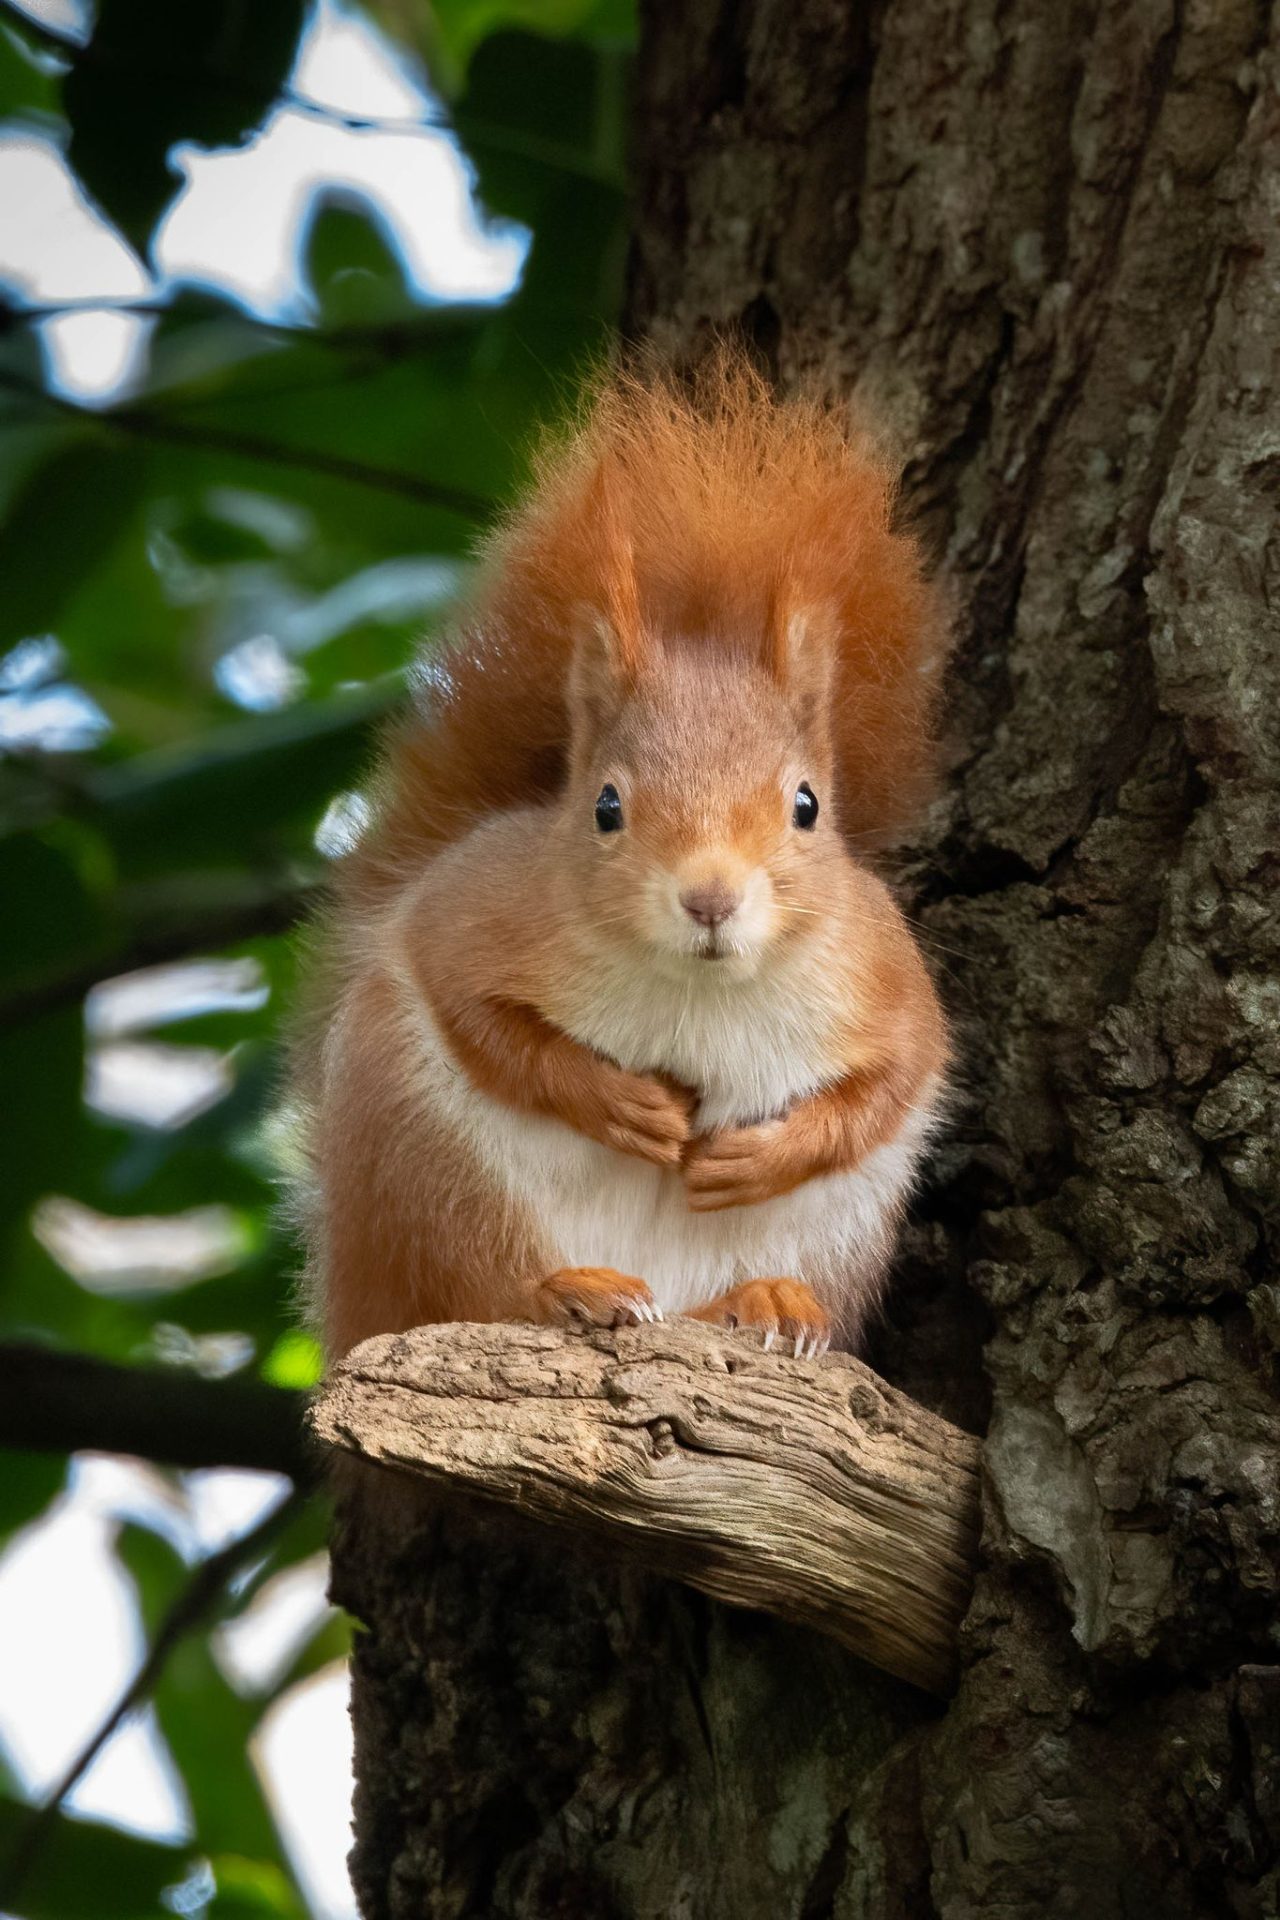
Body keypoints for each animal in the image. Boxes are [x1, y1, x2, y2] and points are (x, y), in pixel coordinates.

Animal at [295, 353, 948, 1359]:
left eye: (807, 806)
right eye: (605, 806)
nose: (710, 899)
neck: (696, 989)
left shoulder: (883, 976)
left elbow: (893, 1080)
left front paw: (760, 1155)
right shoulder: (472, 917)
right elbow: (482, 1018)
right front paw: (618, 1103)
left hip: (833, 1231)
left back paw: (766, 1302)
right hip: (425, 1164)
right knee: (474, 1281)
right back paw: (572, 1289)